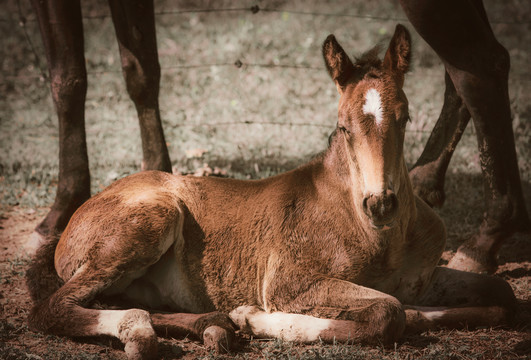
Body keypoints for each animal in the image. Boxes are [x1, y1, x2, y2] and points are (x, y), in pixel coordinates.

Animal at [26, 23, 516, 358]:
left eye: (406, 117)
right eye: (342, 126)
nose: (381, 204)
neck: (379, 236)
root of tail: (73, 220)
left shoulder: (425, 279)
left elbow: (501, 296)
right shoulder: (289, 282)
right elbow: (388, 312)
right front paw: (255, 317)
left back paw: (212, 326)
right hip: (150, 222)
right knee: (55, 308)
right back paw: (146, 331)